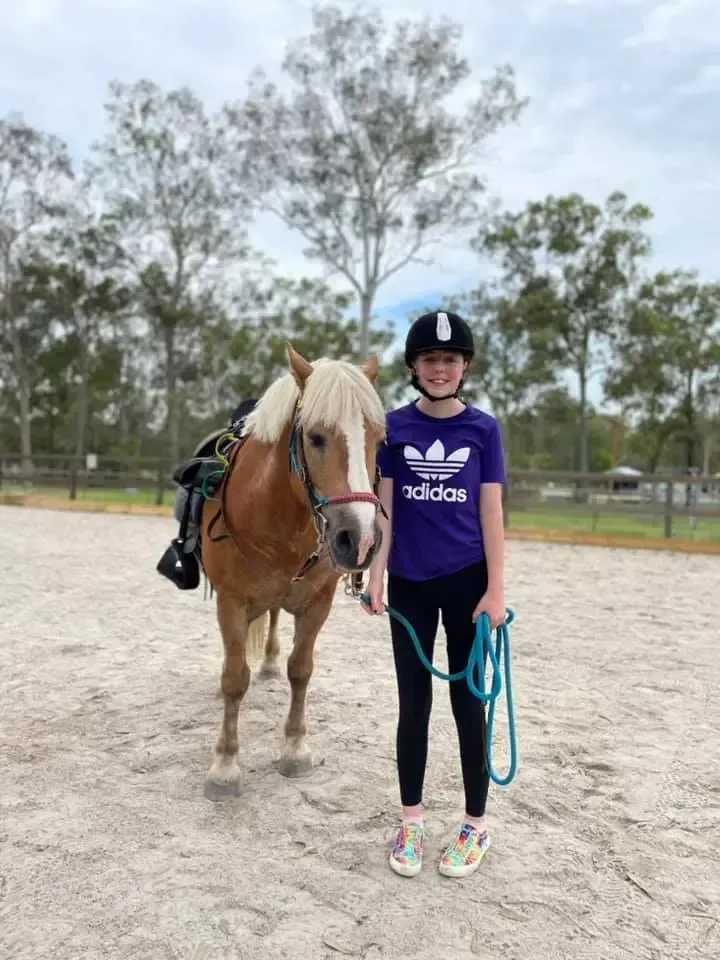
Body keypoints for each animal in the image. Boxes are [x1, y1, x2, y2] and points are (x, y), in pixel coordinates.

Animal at [199, 342, 387, 800]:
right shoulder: (231, 603)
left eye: (380, 439)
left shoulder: (318, 603)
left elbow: (301, 670)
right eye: (315, 437)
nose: (359, 540)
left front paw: (295, 749)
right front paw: (225, 767)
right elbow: (234, 678)